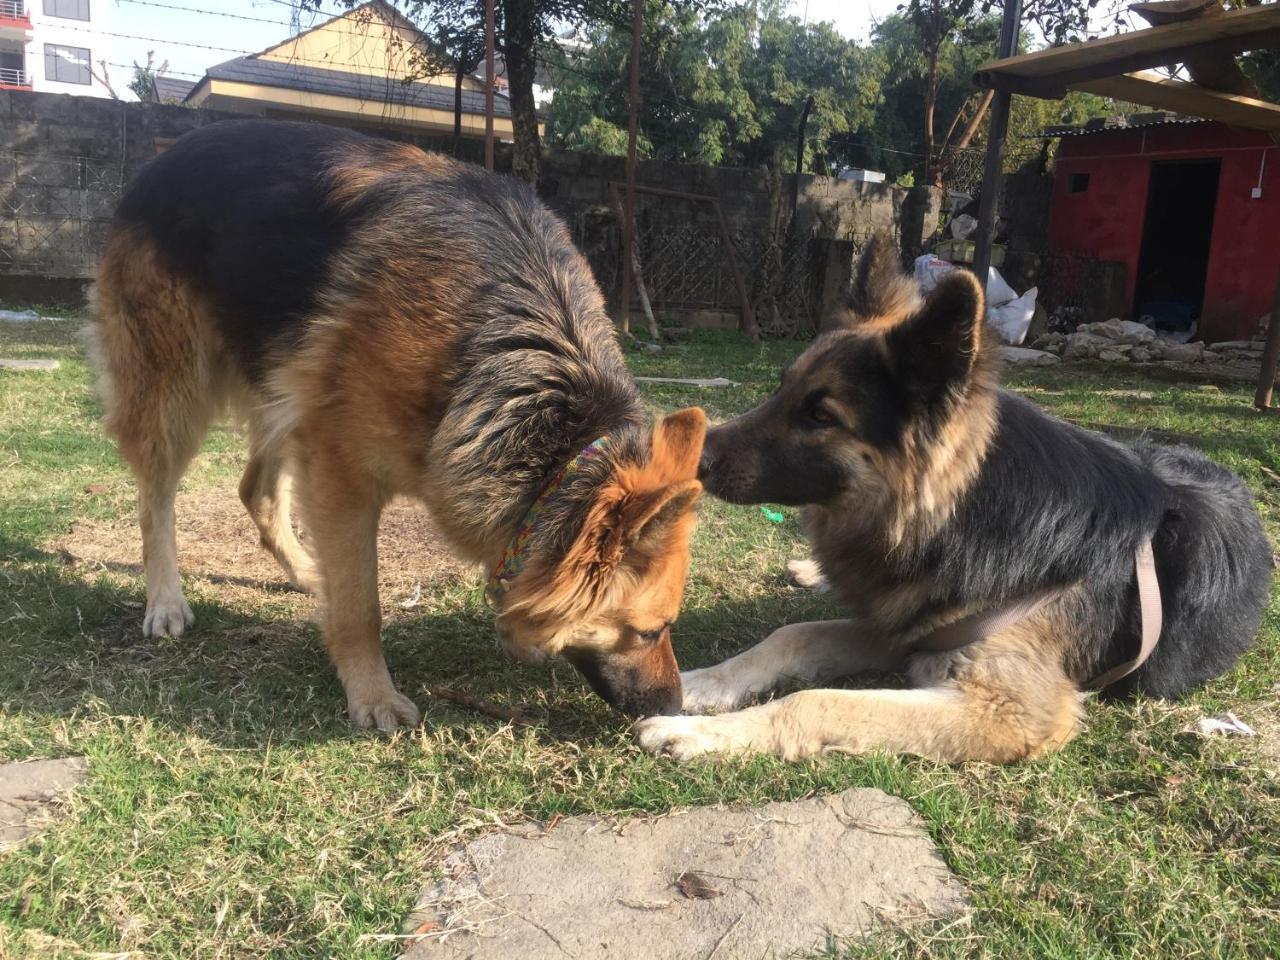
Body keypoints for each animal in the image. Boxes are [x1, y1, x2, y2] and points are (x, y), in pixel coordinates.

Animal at [92, 122, 711, 737]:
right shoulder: (341, 474)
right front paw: (372, 695)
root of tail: (163, 156)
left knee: (255, 490)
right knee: (155, 501)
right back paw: (166, 601)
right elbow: (360, 604)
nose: (673, 707)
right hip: (174, 389)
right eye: (650, 631)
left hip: (286, 389)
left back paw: (305, 570)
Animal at [634, 235, 1274, 768]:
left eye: (820, 415)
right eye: (782, 387)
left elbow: (815, 700)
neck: (967, 519)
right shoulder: (906, 626)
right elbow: (793, 634)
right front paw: (701, 683)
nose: (695, 459)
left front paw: (696, 731)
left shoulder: (1008, 709)